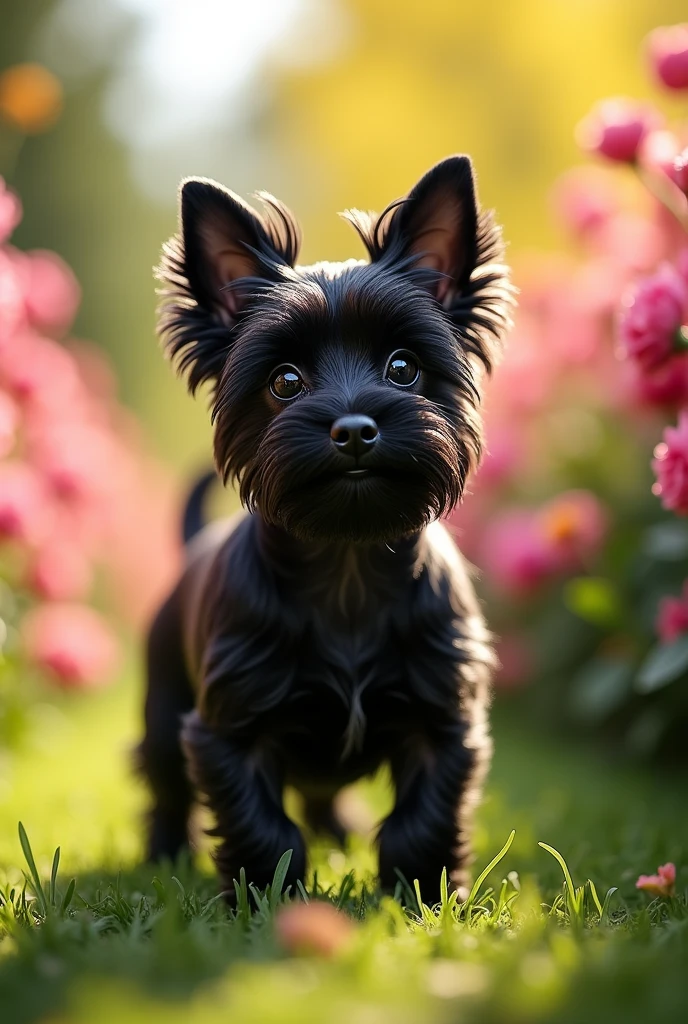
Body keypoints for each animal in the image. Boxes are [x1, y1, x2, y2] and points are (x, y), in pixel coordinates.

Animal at [139, 155, 513, 901]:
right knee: (166, 788)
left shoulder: (445, 720)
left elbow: (422, 818)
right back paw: (164, 856)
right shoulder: (229, 729)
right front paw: (265, 898)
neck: (348, 565)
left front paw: (422, 897)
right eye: (285, 381)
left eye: (403, 367)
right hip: (163, 709)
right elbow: (261, 824)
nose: (355, 429)